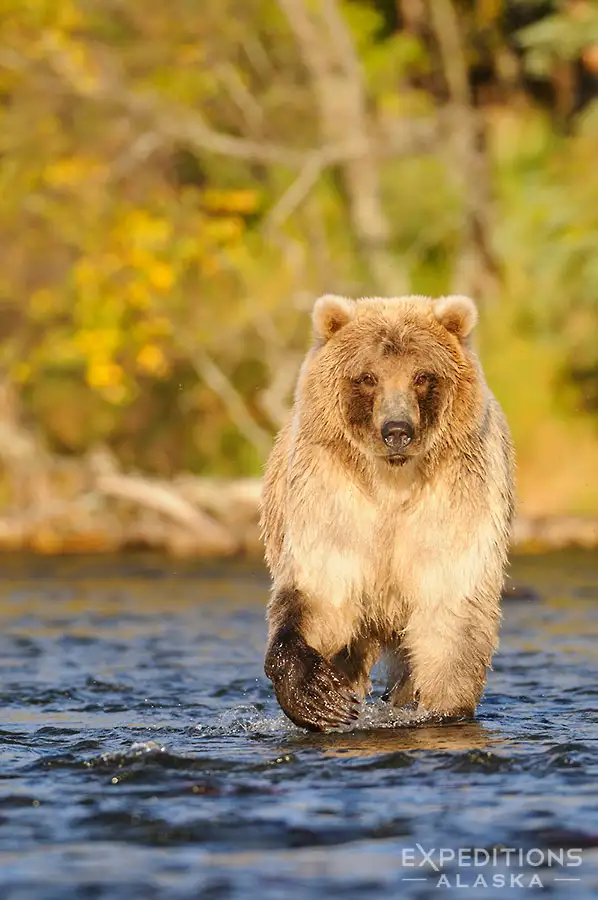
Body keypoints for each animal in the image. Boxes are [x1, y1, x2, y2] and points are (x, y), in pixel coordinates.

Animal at [260, 293, 515, 732]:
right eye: (367, 377)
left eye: (422, 375)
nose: (397, 430)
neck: (391, 484)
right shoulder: (333, 498)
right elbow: (320, 594)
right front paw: (319, 697)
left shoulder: (455, 498)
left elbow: (449, 607)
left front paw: (442, 707)